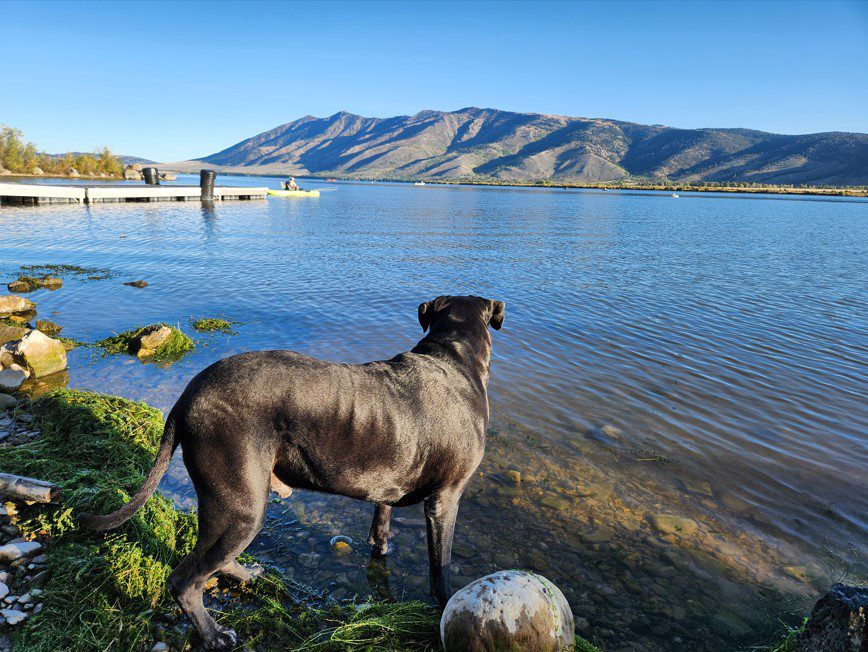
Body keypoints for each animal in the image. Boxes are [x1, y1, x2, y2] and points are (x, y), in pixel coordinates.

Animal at [81, 298, 506, 648]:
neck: (452, 356)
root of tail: (188, 396)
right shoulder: (445, 501)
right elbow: (440, 568)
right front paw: (443, 605)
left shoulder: (386, 490)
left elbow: (380, 531)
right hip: (242, 506)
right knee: (185, 582)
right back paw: (213, 635)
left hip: (232, 506)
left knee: (215, 558)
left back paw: (243, 575)